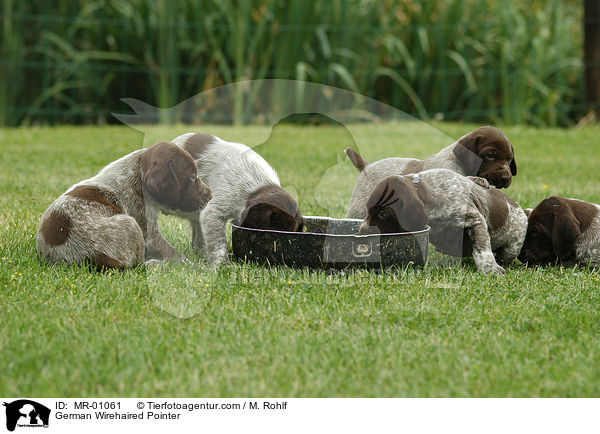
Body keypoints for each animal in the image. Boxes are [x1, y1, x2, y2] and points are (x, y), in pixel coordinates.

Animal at [36, 141, 212, 268]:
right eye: (192, 177)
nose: (210, 195)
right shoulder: (149, 235)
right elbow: (177, 256)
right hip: (130, 223)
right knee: (139, 265)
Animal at [344, 126, 516, 220]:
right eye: (490, 155)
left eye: (509, 160)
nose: (506, 177)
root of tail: (367, 165)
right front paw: (480, 181)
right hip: (359, 209)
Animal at [358, 168, 528, 272]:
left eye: (383, 214)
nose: (362, 232)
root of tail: (524, 212)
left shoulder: (475, 219)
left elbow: (482, 248)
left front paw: (489, 268)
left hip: (512, 247)